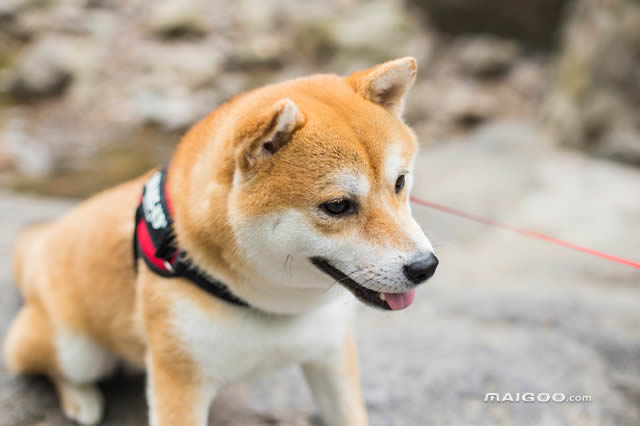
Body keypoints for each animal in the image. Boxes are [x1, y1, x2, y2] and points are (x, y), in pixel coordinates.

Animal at [2, 57, 438, 426]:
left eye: (400, 182)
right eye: (337, 206)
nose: (425, 267)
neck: (268, 306)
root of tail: (44, 243)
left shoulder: (330, 354)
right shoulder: (179, 380)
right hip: (74, 349)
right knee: (44, 362)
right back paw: (81, 399)